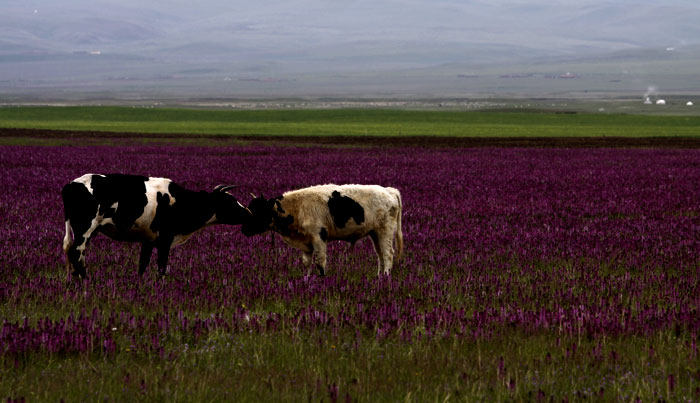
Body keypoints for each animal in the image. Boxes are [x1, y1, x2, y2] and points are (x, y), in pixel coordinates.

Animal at [60, 174, 252, 280]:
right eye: (230, 201)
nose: (249, 213)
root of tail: (71, 185)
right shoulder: (166, 238)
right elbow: (161, 266)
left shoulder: (149, 239)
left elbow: (143, 264)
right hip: (86, 228)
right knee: (77, 251)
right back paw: (85, 280)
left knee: (72, 251)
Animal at [242, 185, 402, 276]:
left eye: (259, 211)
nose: (244, 229)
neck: (297, 206)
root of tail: (389, 190)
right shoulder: (306, 243)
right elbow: (307, 262)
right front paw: (306, 279)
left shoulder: (319, 237)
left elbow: (320, 261)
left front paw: (321, 279)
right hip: (375, 234)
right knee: (380, 255)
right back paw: (379, 277)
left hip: (385, 231)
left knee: (388, 254)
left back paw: (386, 276)